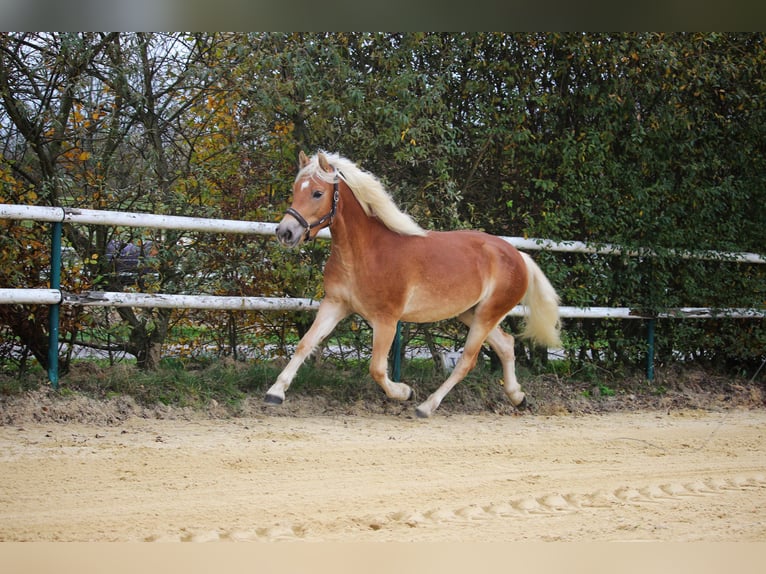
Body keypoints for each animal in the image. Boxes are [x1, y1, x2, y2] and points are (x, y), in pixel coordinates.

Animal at [268, 150, 560, 418]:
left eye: (317, 193)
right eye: (295, 190)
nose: (285, 232)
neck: (365, 252)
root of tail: (518, 256)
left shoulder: (386, 320)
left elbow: (377, 369)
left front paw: (405, 392)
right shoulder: (335, 304)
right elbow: (305, 343)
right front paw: (275, 393)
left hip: (487, 314)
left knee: (467, 360)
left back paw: (426, 406)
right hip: (471, 313)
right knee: (506, 345)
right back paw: (518, 397)